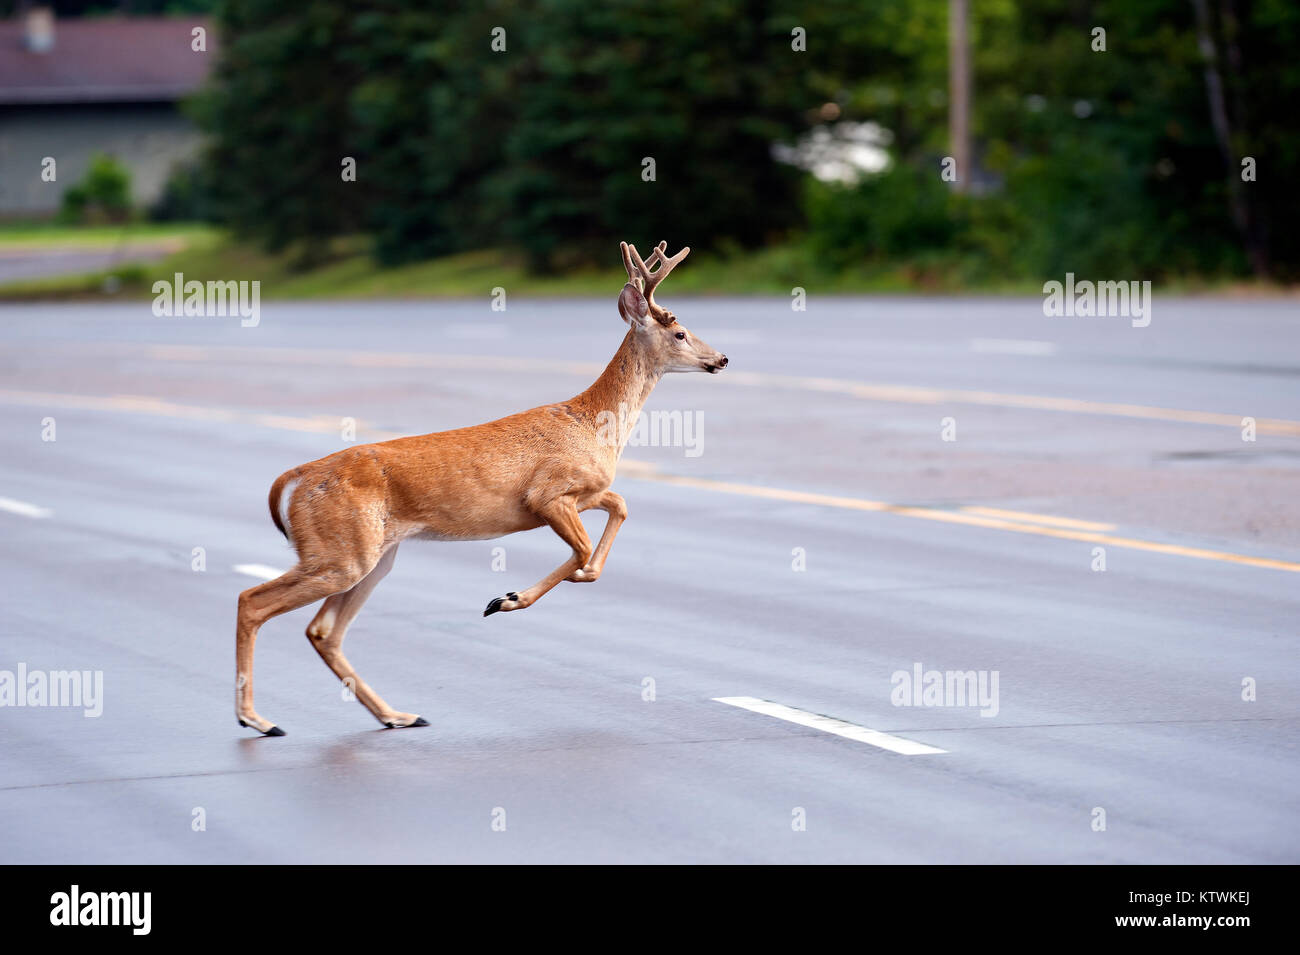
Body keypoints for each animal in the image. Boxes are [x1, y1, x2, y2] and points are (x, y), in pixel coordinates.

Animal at [233, 242, 722, 738]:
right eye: (680, 332)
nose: (720, 359)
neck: (594, 424)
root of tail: (296, 477)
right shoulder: (546, 494)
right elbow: (584, 547)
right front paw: (505, 600)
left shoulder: (585, 492)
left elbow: (618, 507)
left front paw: (548, 586)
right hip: (339, 553)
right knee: (252, 601)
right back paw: (257, 719)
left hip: (371, 555)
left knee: (322, 631)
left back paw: (398, 715)